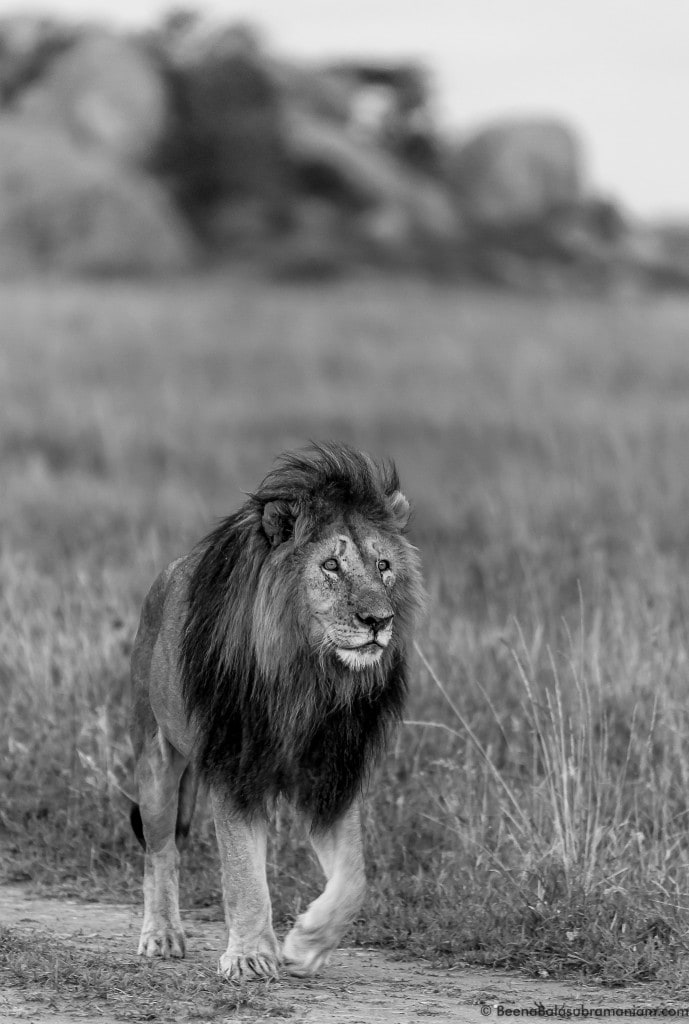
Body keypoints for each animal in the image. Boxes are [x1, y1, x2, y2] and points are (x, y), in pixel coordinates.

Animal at [126, 442, 421, 983]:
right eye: (331, 565)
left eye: (384, 564)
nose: (379, 619)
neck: (308, 679)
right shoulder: (234, 769)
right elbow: (244, 873)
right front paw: (249, 956)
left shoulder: (332, 776)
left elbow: (355, 879)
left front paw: (307, 943)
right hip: (155, 758)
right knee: (160, 852)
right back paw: (161, 933)